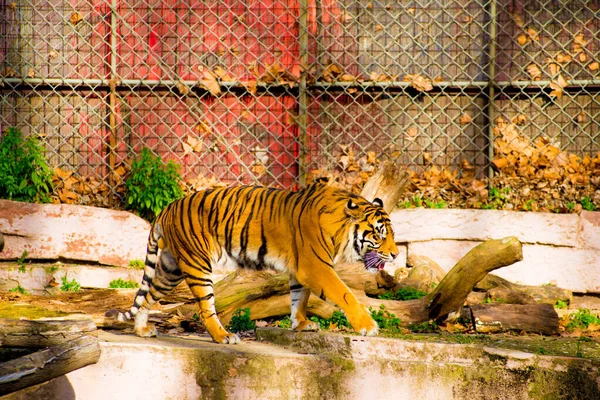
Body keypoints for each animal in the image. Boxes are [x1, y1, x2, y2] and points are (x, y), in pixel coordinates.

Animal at [108, 181, 398, 344]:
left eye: (392, 234)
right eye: (379, 234)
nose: (396, 254)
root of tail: (167, 208)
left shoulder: (300, 270)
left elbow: (299, 298)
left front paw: (301, 324)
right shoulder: (316, 266)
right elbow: (345, 294)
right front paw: (368, 326)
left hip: (171, 269)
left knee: (148, 295)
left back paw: (142, 330)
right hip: (197, 264)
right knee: (205, 308)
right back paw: (224, 337)